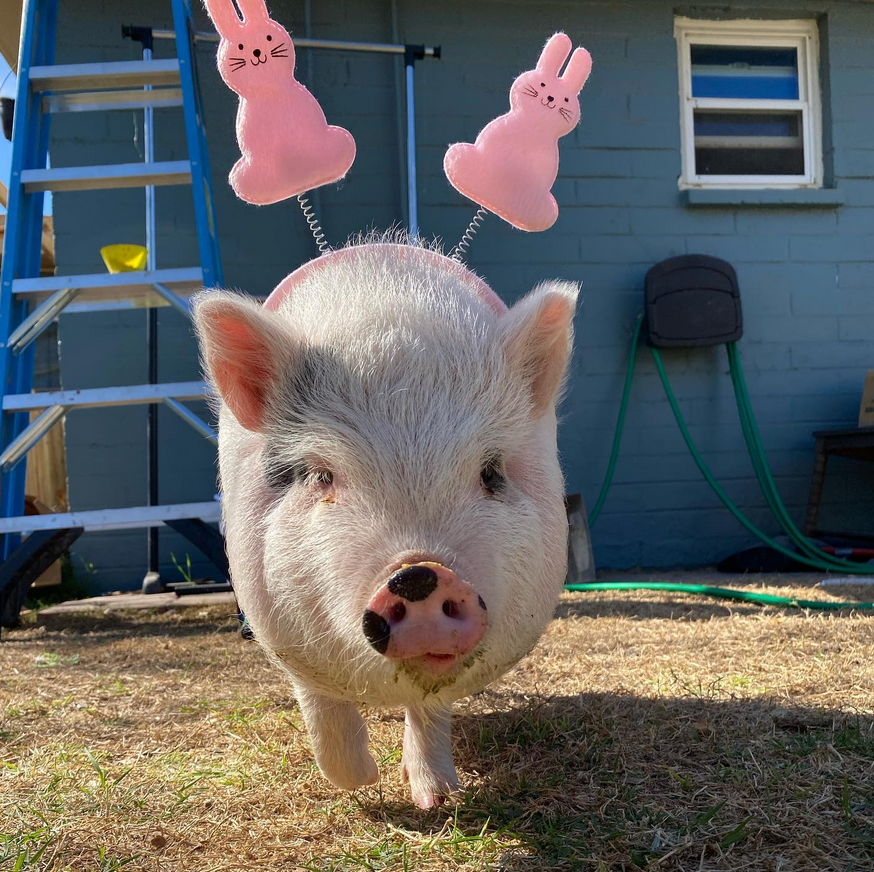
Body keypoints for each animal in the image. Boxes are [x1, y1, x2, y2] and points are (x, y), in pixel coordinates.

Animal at [196, 238, 580, 812]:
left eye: (490, 473)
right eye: (322, 475)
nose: (421, 573)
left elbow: (432, 709)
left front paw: (438, 799)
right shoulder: (280, 629)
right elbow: (322, 710)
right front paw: (364, 784)